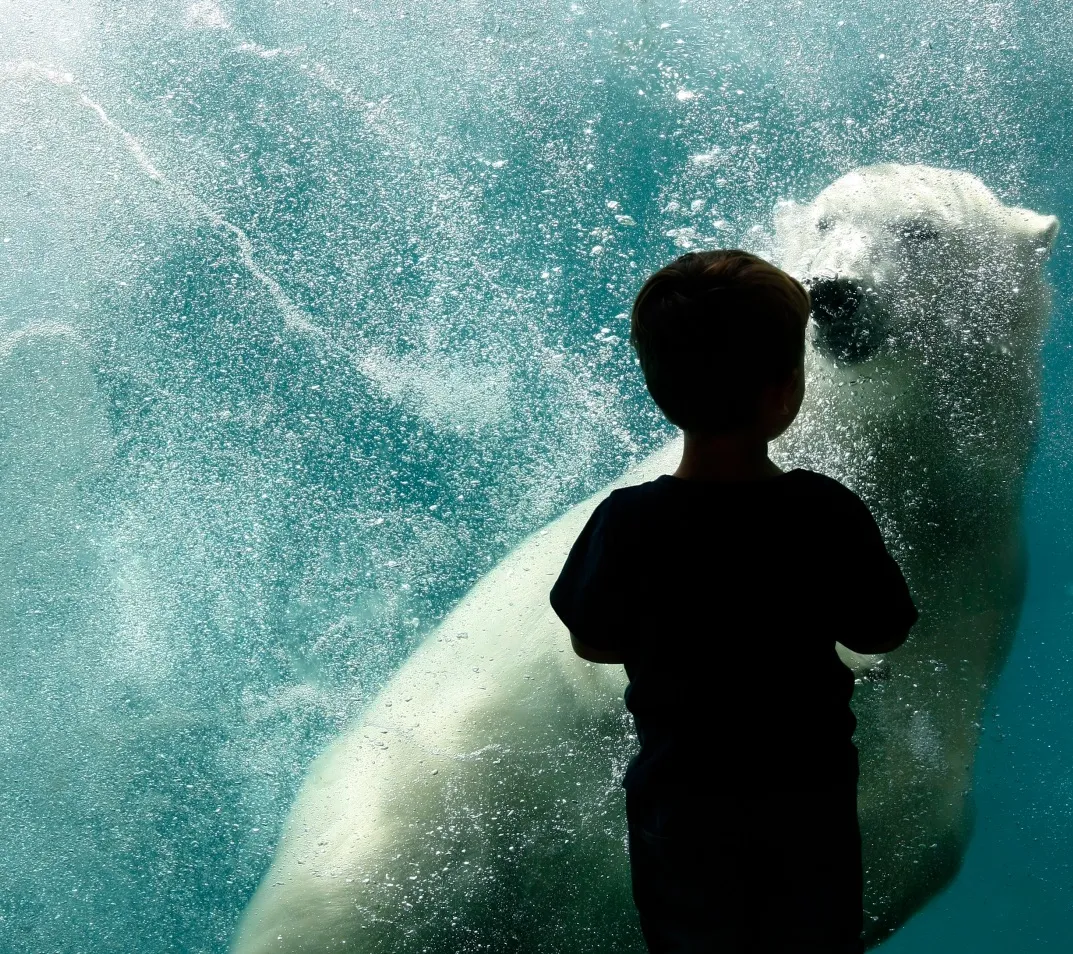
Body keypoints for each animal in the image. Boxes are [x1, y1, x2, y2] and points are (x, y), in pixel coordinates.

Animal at [231, 164, 1058, 953]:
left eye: (921, 231)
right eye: (824, 222)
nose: (833, 292)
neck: (885, 468)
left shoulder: (972, 581)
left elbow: (920, 816)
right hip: (390, 824)